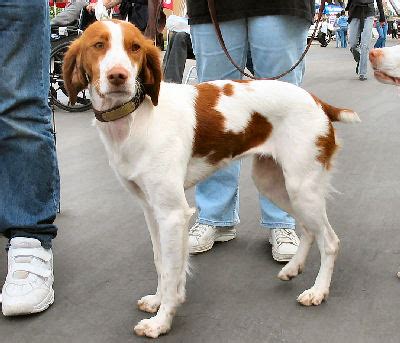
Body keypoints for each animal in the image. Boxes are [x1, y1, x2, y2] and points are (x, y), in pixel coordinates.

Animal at [64, 20, 360, 340]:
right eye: (98, 45)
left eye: (135, 47)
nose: (119, 76)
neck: (137, 120)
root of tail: (317, 102)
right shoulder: (152, 211)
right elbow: (162, 263)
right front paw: (157, 301)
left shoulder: (172, 213)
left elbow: (171, 270)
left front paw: (161, 321)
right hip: (272, 183)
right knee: (307, 228)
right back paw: (293, 268)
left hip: (301, 186)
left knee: (330, 241)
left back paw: (318, 292)